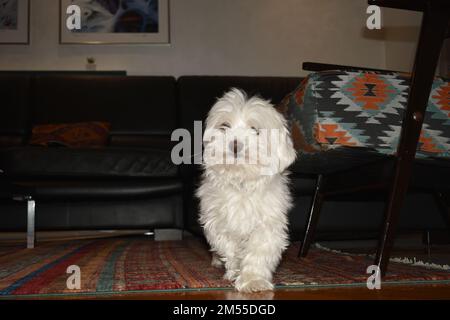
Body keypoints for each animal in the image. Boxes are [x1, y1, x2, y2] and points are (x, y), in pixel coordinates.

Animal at [196, 88, 296, 292]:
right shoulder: (217, 223)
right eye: (224, 125)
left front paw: (253, 280)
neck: (241, 183)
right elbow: (230, 249)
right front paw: (233, 270)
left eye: (255, 130)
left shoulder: (267, 225)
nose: (235, 144)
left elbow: (258, 253)